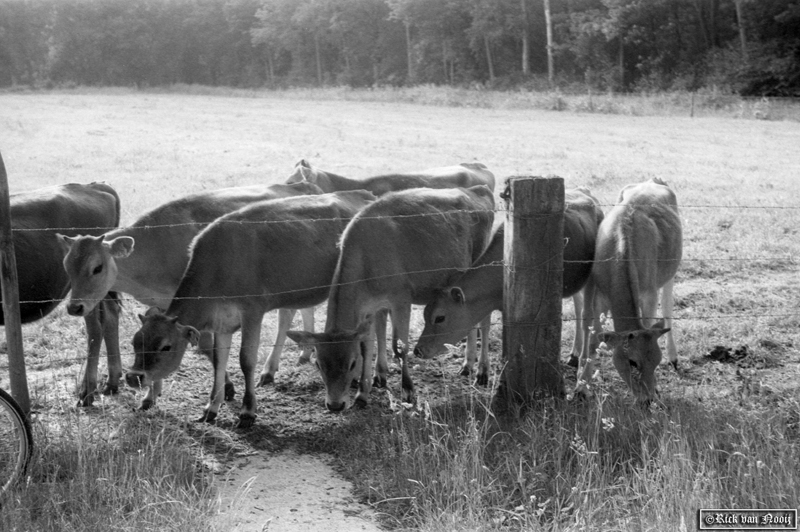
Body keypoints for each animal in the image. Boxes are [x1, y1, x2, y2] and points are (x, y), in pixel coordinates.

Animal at [59, 181, 322, 410]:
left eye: (97, 267)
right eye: (67, 267)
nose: (74, 307)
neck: (157, 248)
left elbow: (206, 345)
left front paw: (226, 388)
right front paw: (150, 396)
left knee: (288, 314)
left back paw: (273, 368)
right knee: (298, 309)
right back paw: (302, 354)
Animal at [125, 191, 376, 428]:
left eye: (165, 347)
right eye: (135, 342)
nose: (132, 378)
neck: (219, 265)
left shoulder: (252, 312)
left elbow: (246, 360)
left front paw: (247, 412)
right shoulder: (222, 323)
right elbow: (219, 362)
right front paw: (211, 408)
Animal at [288, 185, 494, 414]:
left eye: (351, 364)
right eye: (319, 364)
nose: (335, 405)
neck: (366, 259)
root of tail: (477, 190)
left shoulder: (401, 299)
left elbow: (399, 346)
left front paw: (408, 391)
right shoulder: (370, 309)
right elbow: (368, 346)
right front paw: (362, 394)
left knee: (484, 319)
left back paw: (482, 372)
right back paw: (467, 365)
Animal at [416, 187, 604, 382]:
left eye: (439, 318)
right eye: (425, 314)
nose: (417, 350)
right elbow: (484, 325)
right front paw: (481, 370)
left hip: (591, 278)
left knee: (587, 315)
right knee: (578, 307)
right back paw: (574, 355)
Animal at [576, 179, 680, 404]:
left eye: (656, 361)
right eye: (632, 362)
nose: (647, 400)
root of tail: (653, 180)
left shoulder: (649, 294)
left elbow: (649, 321)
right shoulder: (597, 294)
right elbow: (593, 336)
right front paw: (581, 387)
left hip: (670, 273)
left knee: (668, 309)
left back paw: (674, 357)